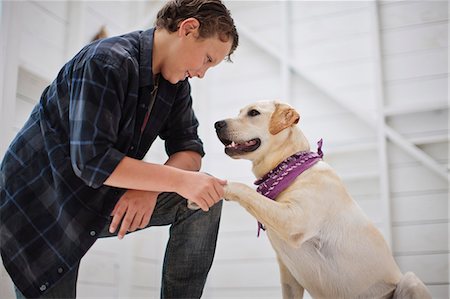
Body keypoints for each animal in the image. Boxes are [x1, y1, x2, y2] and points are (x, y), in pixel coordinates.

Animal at [215, 101, 432, 299]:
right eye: (239, 112)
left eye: (253, 113)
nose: (217, 124)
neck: (288, 166)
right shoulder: (288, 274)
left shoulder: (294, 221)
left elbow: (247, 191)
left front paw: (220, 186)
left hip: (410, 280)